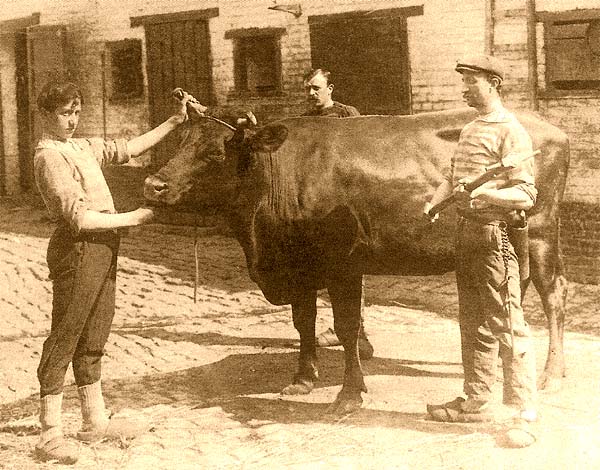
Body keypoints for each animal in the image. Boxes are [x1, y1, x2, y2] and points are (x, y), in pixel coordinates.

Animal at [144, 108, 568, 414]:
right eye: (178, 144)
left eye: (214, 153)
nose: (152, 185)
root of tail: (552, 128)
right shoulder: (301, 267)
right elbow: (304, 323)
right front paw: (303, 378)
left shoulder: (343, 264)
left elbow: (347, 328)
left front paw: (349, 394)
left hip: (542, 231)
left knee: (553, 295)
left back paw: (551, 374)